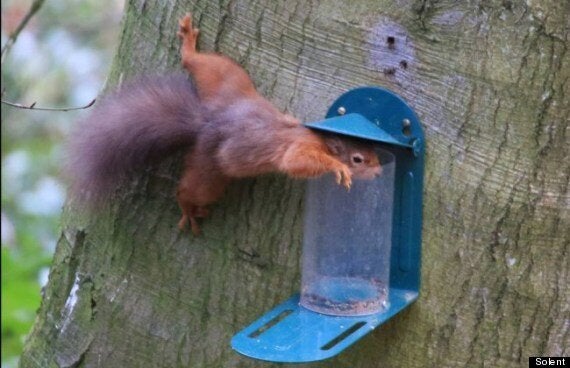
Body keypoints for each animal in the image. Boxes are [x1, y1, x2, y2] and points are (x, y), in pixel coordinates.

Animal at [67, 13, 382, 236]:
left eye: (372, 149)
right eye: (358, 158)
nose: (379, 171)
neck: (325, 140)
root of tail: (208, 122)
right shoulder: (301, 145)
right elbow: (296, 161)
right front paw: (337, 167)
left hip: (228, 79)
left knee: (199, 64)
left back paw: (190, 47)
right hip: (208, 172)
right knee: (189, 191)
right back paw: (189, 211)